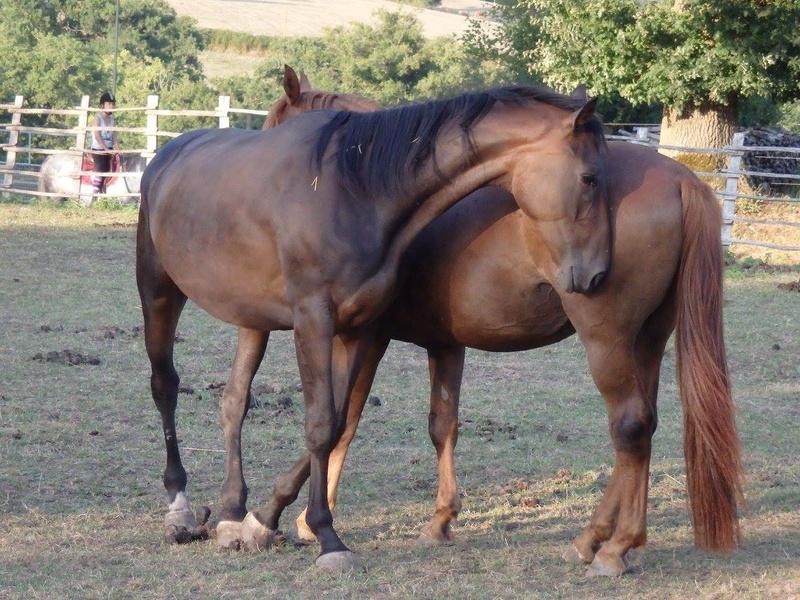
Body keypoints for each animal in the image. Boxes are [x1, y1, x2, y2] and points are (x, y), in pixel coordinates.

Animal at [136, 81, 608, 572]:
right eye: (591, 178)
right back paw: (181, 508)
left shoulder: (360, 330)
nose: (593, 274)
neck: (357, 191)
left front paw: (278, 521)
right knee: (166, 385)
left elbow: (337, 421)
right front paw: (321, 534)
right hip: (159, 291)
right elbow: (324, 423)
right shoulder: (320, 322)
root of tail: (167, 153)